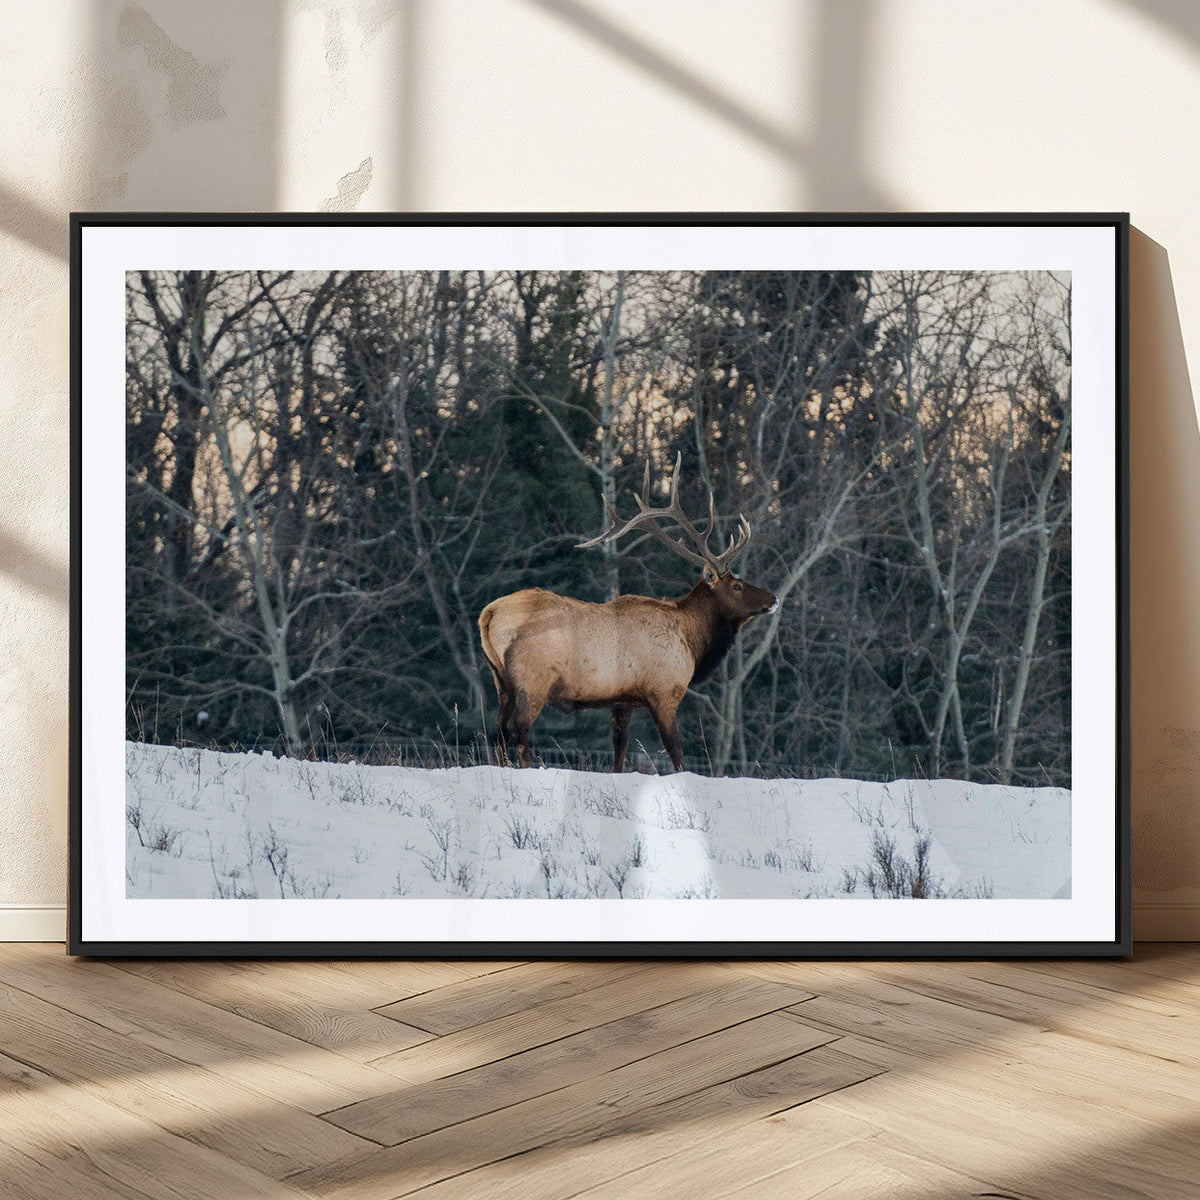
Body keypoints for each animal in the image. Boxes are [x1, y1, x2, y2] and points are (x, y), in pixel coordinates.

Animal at [478, 455, 777, 772]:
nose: (773, 598)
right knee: (518, 728)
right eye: (736, 585)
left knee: (499, 728)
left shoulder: (622, 699)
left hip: (501, 681)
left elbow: (620, 748)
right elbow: (676, 750)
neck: (692, 641)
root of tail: (489, 614)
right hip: (533, 678)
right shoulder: (663, 689)